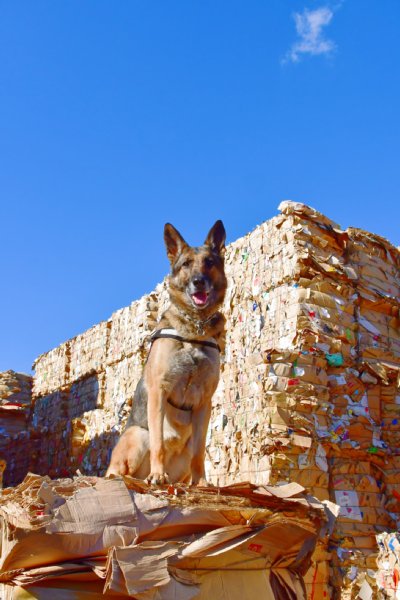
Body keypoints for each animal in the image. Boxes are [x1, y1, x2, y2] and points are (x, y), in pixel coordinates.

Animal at [104, 220, 227, 488]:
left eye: (209, 262)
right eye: (186, 264)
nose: (198, 281)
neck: (194, 330)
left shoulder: (204, 402)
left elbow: (200, 452)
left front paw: (201, 483)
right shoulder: (158, 391)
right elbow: (159, 441)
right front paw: (158, 475)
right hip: (137, 435)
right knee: (116, 472)